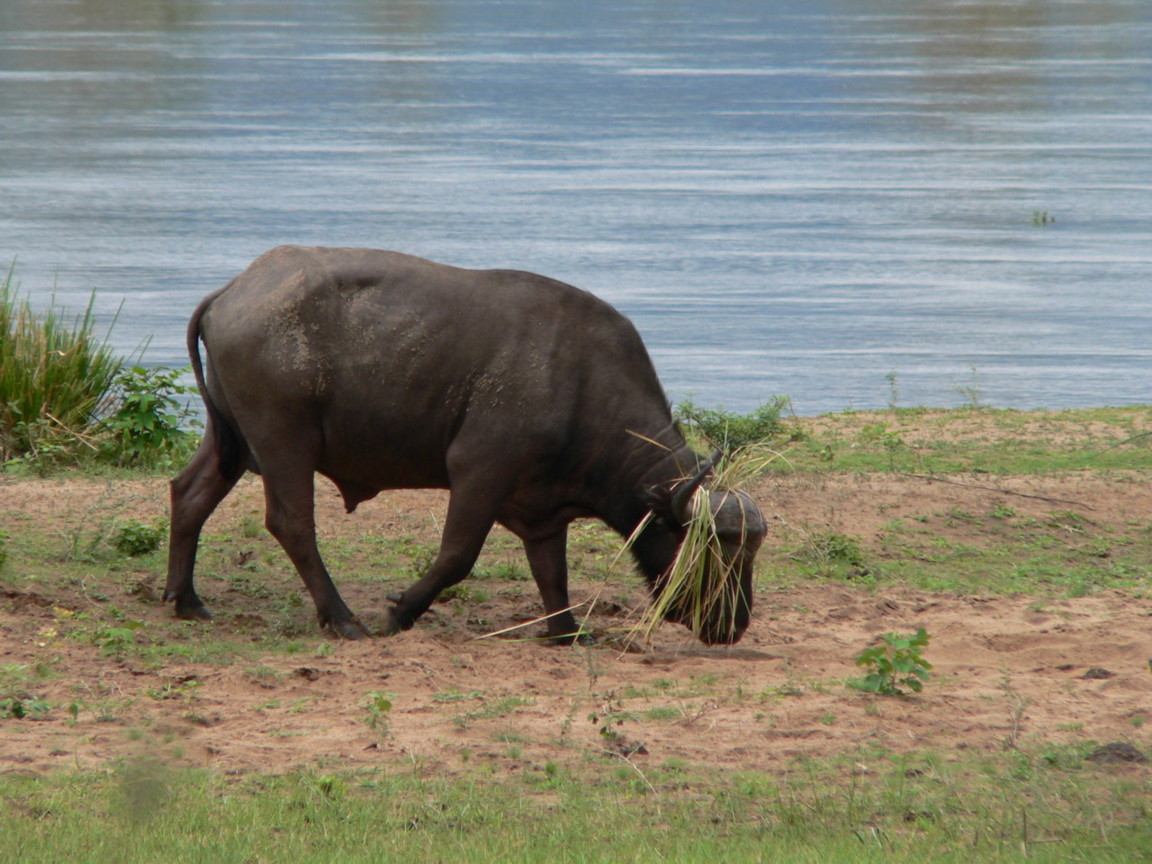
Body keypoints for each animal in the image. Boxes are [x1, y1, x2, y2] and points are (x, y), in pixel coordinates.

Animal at [167, 246, 764, 645]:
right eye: (717, 554)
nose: (734, 625)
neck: (581, 381)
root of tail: (235, 289)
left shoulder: (544, 510)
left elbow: (553, 572)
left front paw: (566, 630)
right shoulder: (479, 471)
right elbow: (457, 555)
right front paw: (400, 612)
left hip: (231, 439)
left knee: (188, 493)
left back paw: (185, 599)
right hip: (284, 440)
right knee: (292, 523)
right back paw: (342, 618)